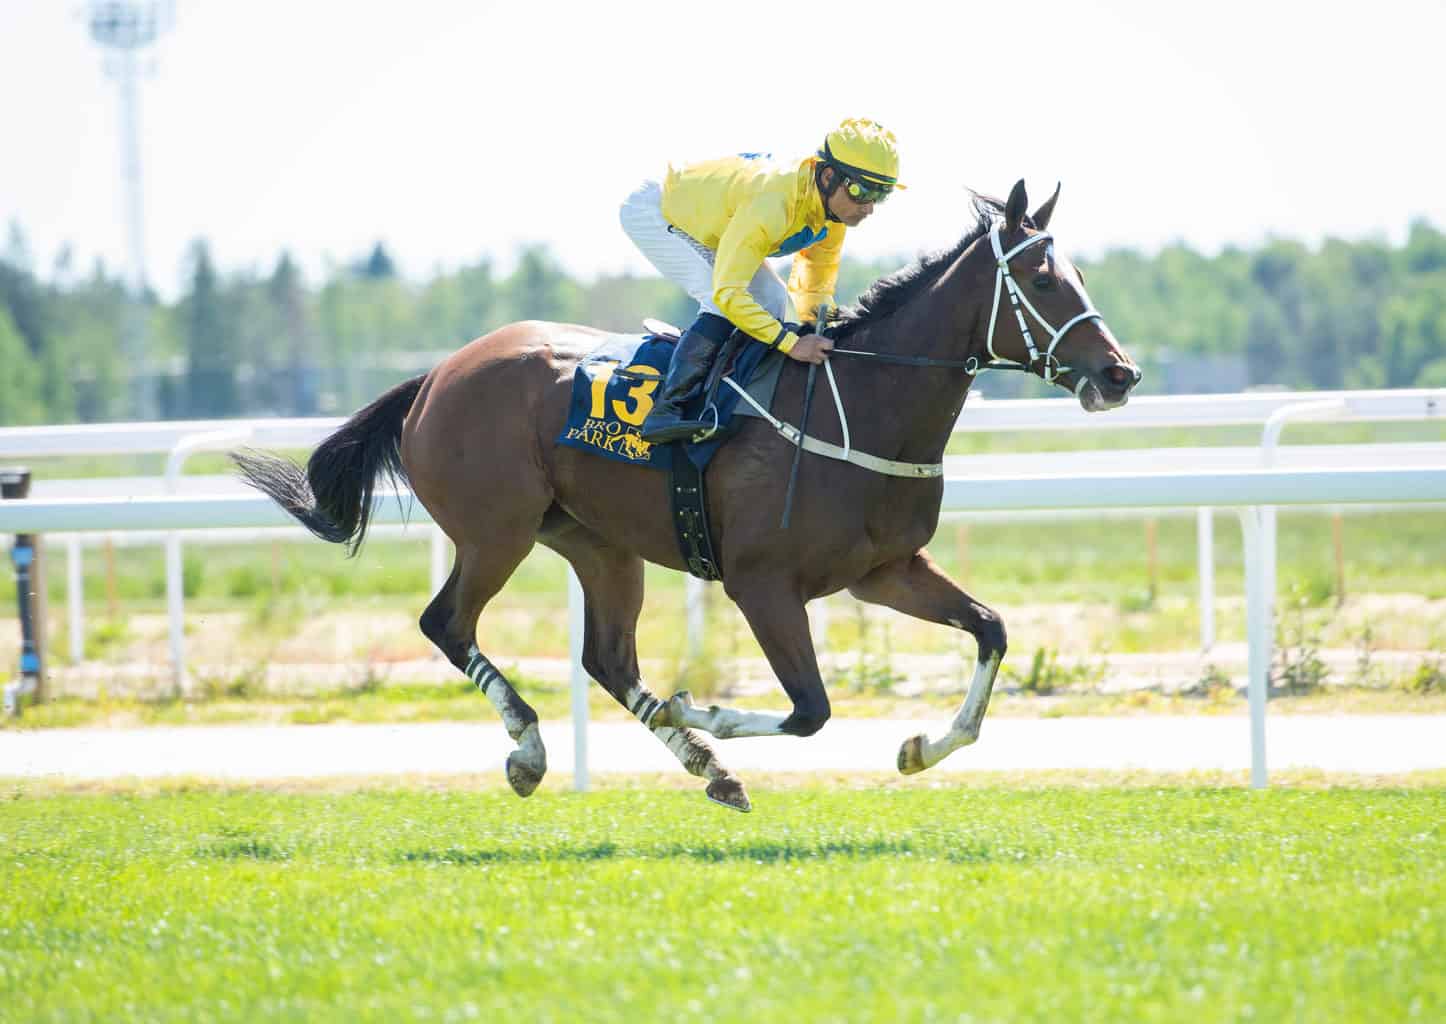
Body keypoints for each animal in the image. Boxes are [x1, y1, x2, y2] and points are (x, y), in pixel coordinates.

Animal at [234, 180, 1139, 809]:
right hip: (498, 532)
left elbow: (990, 630)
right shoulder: (762, 584)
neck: (860, 402)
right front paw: (699, 712)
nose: (1119, 373)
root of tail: (434, 376)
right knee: (446, 624)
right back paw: (533, 749)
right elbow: (809, 710)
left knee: (605, 656)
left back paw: (708, 768)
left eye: (1078, 272)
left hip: (596, 543)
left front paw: (922, 746)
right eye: (1044, 280)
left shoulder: (884, 572)